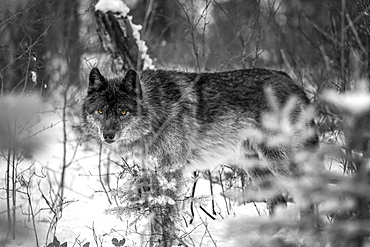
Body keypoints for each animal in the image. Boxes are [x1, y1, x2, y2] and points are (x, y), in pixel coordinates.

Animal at [81, 68, 316, 214]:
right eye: (101, 111)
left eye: (123, 112)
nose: (108, 135)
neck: (158, 110)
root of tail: (291, 81)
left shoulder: (172, 171)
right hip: (254, 165)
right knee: (279, 203)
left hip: (276, 162)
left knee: (306, 198)